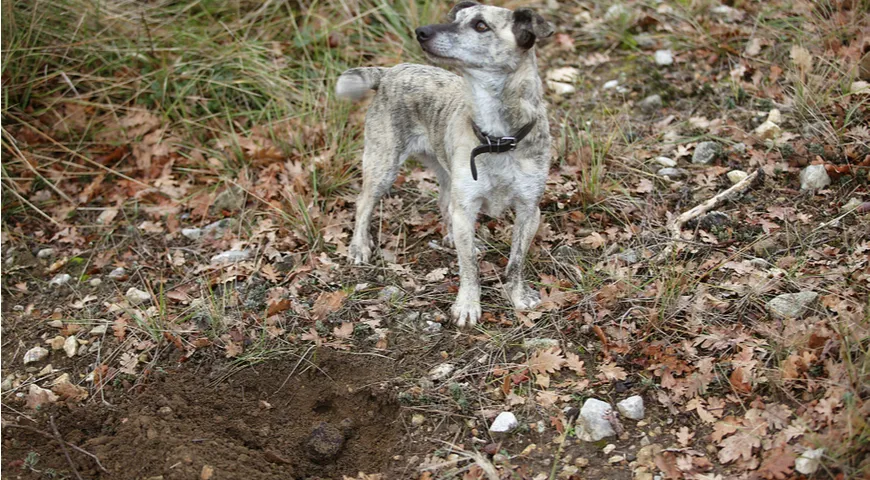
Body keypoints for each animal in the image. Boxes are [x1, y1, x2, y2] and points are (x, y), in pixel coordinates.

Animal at [338, 1, 556, 326]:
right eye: (454, 18)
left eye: (480, 25)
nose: (421, 32)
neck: (496, 137)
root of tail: (389, 72)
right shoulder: (467, 206)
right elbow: (470, 267)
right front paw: (467, 305)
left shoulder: (529, 210)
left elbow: (516, 261)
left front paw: (517, 296)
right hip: (383, 165)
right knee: (364, 203)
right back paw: (358, 247)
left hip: (446, 174)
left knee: (444, 203)